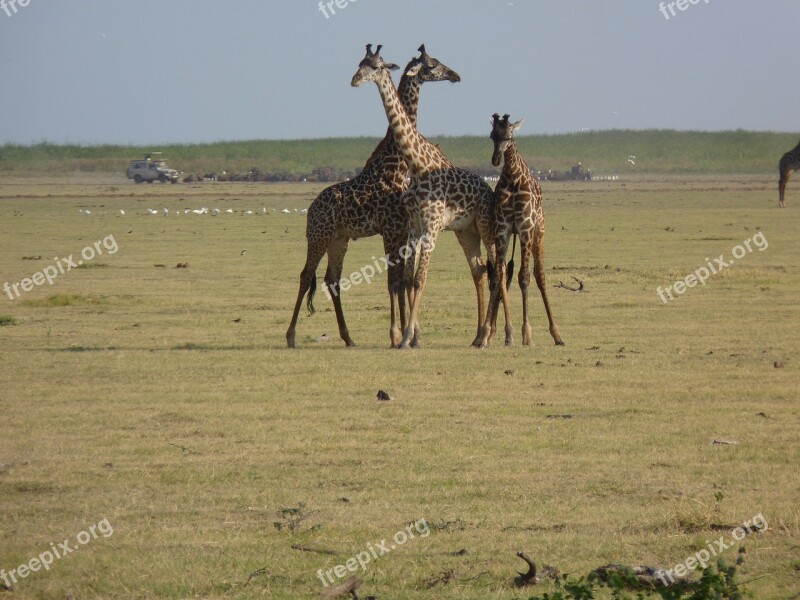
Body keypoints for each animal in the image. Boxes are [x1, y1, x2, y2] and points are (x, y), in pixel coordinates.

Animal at [288, 45, 462, 346]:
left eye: (376, 65)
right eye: (432, 65)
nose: (454, 75)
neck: (396, 162)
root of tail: (311, 209)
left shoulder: (401, 230)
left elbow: (402, 280)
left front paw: (408, 334)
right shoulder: (392, 229)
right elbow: (394, 281)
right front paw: (397, 335)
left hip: (339, 239)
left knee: (331, 279)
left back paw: (348, 337)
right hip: (319, 235)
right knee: (306, 275)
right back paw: (291, 336)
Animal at [478, 113, 564, 346]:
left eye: (509, 136)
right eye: (492, 136)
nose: (496, 159)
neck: (513, 177)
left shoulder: (525, 227)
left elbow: (524, 277)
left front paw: (527, 334)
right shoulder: (503, 229)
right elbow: (498, 277)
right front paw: (488, 333)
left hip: (538, 233)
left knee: (539, 275)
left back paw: (557, 334)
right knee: (504, 274)